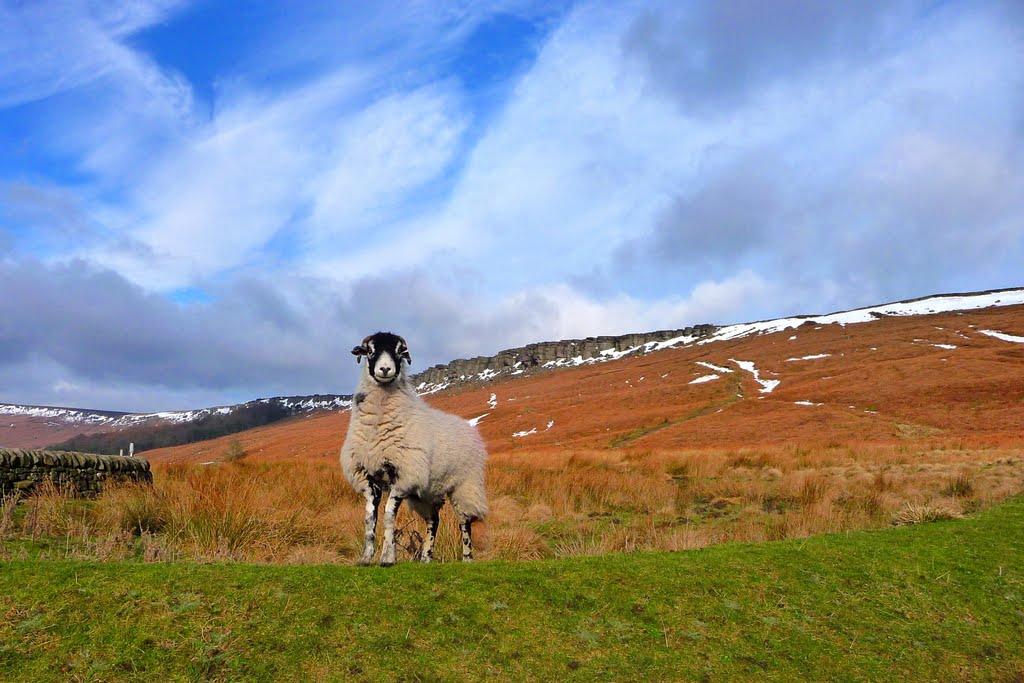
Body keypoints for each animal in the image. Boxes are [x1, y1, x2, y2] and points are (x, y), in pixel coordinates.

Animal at [337, 331, 489, 565]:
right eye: (370, 351)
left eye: (400, 351)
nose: (385, 369)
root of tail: (469, 428)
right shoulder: (368, 477)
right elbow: (369, 520)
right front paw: (365, 558)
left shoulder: (403, 476)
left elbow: (388, 516)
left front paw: (388, 557)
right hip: (426, 493)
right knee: (434, 520)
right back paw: (426, 558)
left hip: (465, 485)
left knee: (465, 522)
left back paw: (467, 558)